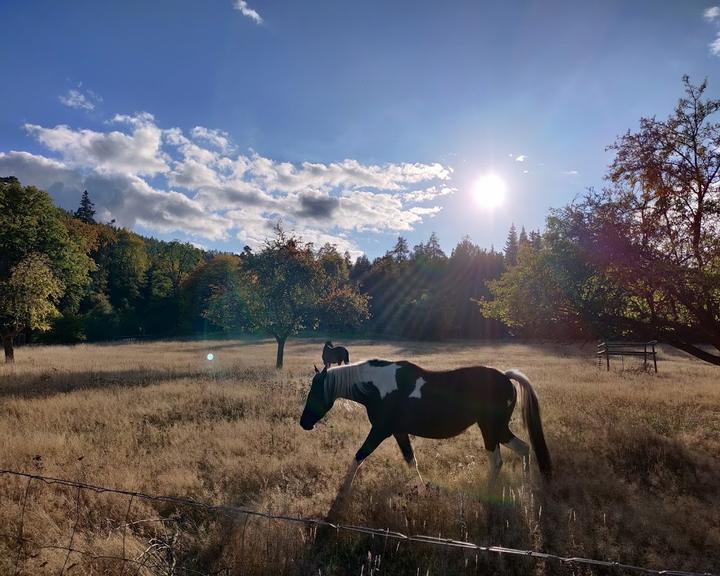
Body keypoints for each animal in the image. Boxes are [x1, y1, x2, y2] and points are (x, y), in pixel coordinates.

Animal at [298, 360, 552, 496]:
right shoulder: (398, 432)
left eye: (316, 392)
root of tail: (505, 377)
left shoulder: (380, 431)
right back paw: (527, 487)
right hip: (497, 429)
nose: (304, 423)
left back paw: (490, 493)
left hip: (491, 429)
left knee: (500, 460)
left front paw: (343, 490)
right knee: (523, 448)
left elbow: (359, 455)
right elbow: (411, 460)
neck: (379, 386)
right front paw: (421, 489)